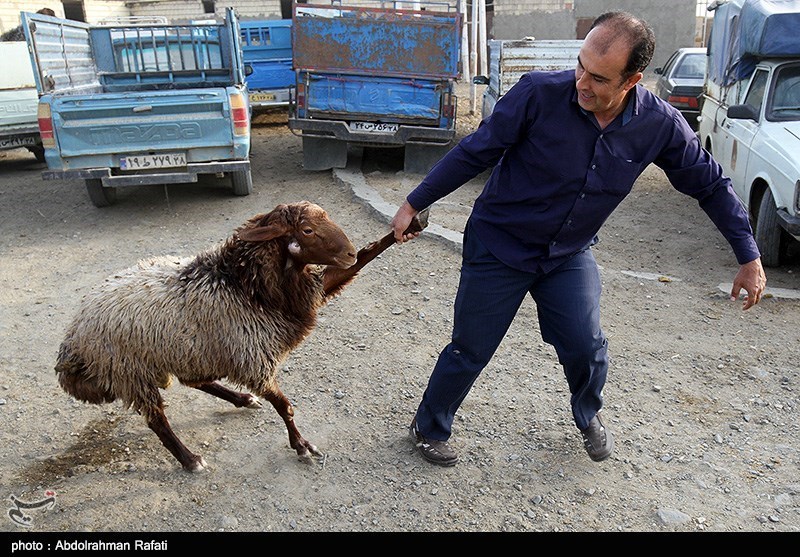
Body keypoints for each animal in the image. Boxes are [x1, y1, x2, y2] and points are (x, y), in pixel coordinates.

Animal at [54, 202, 432, 472]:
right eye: (307, 229)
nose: (348, 252)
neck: (244, 285)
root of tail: (72, 339)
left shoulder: (301, 299)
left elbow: (369, 255)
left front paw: (411, 224)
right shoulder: (254, 359)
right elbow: (285, 406)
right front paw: (302, 447)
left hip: (187, 350)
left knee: (195, 381)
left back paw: (240, 400)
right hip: (131, 372)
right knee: (157, 420)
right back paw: (190, 460)